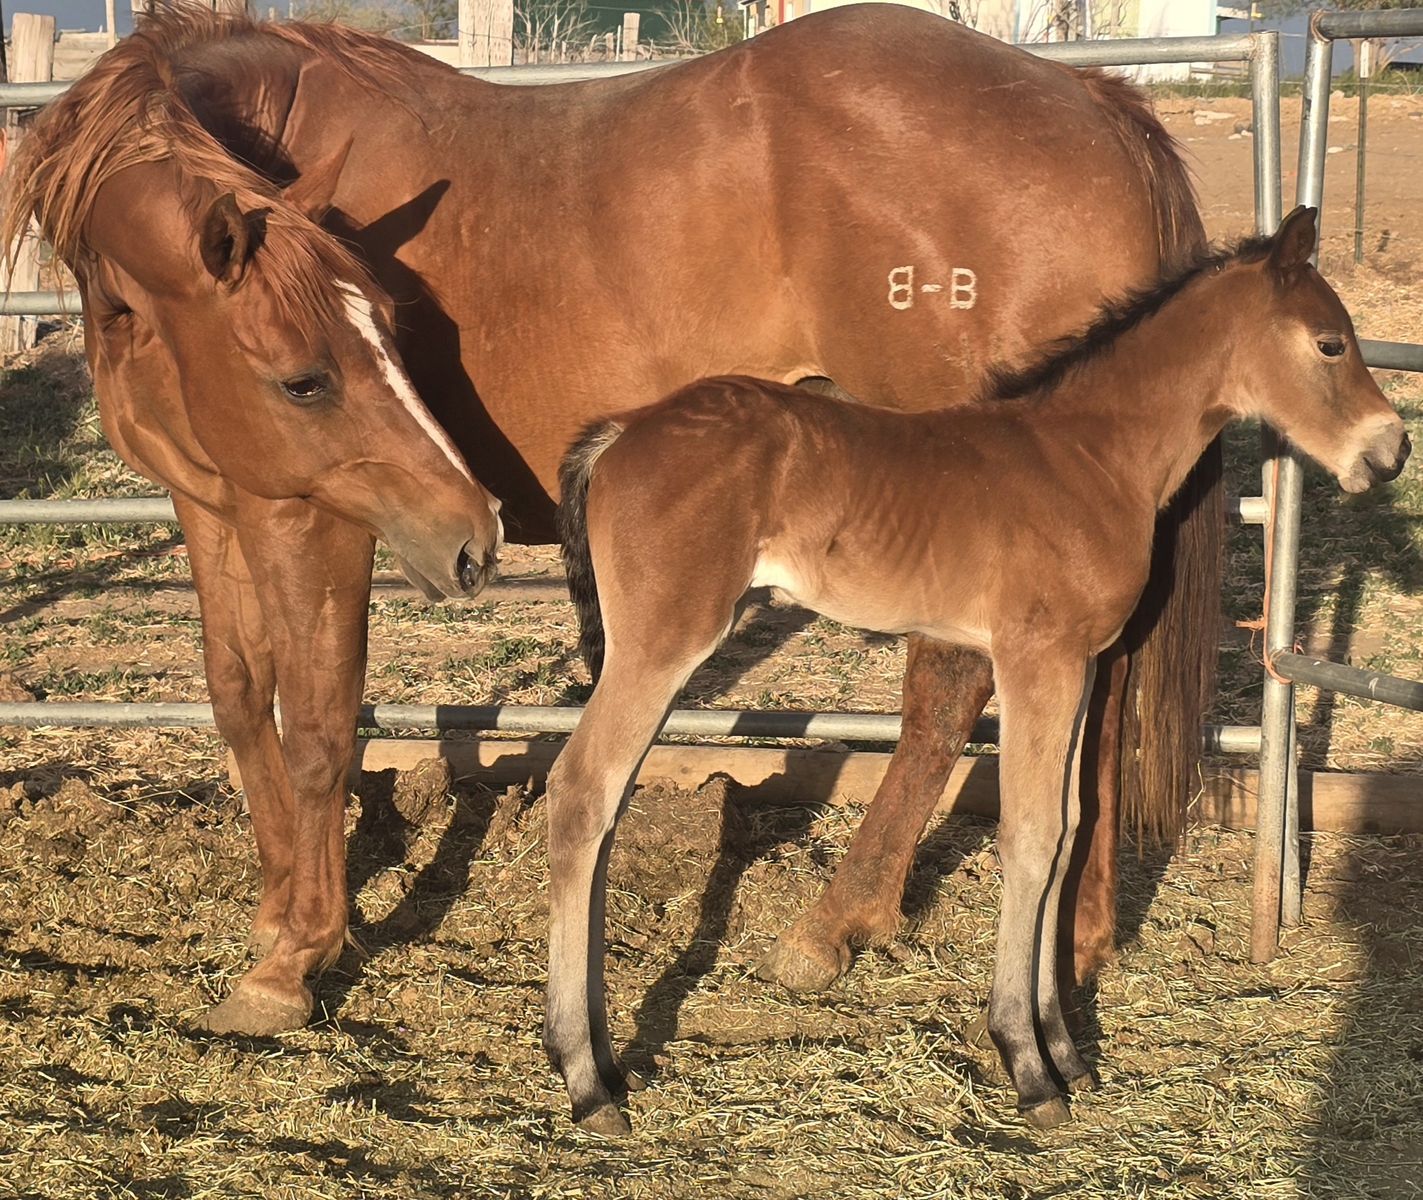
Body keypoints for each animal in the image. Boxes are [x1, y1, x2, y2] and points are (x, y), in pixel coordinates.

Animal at [5, 4, 1217, 1035]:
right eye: (308, 375)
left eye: (371, 343)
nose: (475, 533)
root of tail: (1089, 99)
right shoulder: (211, 502)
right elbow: (235, 704)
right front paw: (274, 916)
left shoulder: (312, 516)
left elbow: (313, 723)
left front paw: (295, 956)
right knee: (1087, 690)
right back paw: (1076, 939)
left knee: (946, 691)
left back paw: (836, 927)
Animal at [546, 207, 1410, 1134]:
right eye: (1329, 343)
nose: (1392, 451)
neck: (1090, 455)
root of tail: (623, 430)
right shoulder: (1037, 660)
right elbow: (1030, 837)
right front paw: (1027, 1066)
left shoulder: (1077, 666)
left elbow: (1067, 829)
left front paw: (1067, 1052)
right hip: (663, 639)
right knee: (582, 791)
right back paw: (585, 1081)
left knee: (603, 805)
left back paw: (604, 1062)